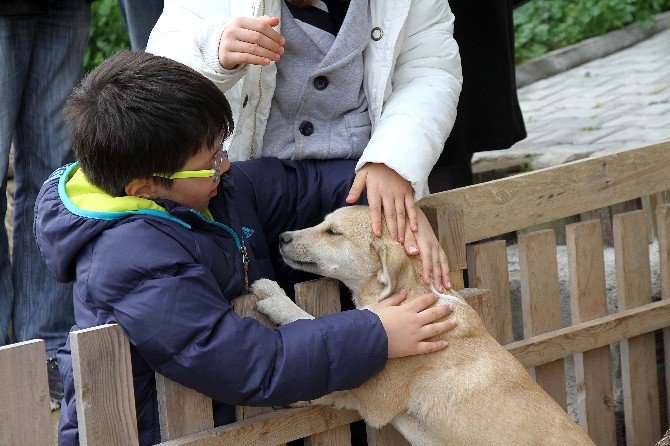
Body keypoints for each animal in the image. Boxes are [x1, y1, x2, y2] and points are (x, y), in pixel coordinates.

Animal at [253, 206, 600, 446]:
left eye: (333, 232)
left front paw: (275, 298)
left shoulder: (376, 391)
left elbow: (317, 326)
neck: (417, 294)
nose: (282, 237)